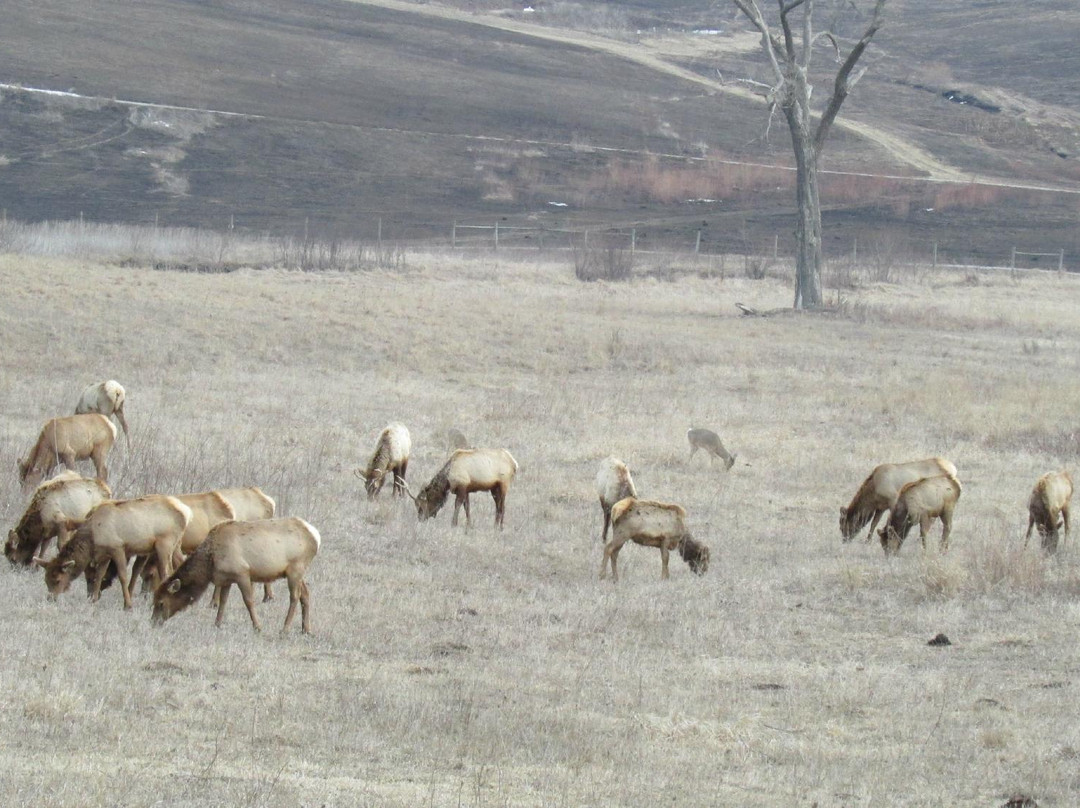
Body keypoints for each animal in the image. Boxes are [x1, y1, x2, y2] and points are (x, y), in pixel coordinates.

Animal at [38, 494, 192, 609]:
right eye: (45, 579)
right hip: (176, 545)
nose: (50, 598)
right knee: (180, 563)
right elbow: (99, 575)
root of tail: (187, 513)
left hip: (164, 544)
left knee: (167, 573)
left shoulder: (117, 548)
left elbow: (122, 576)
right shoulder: (105, 554)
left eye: (57, 580)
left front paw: (128, 605)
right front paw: (93, 600)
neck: (93, 538)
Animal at [152, 518, 319, 639]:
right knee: (305, 594)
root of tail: (316, 536)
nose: (153, 622)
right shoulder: (226, 578)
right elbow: (223, 602)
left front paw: (258, 627)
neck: (210, 562)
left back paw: (285, 629)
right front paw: (217, 624)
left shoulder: (242, 572)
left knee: (295, 597)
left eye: (161, 603)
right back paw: (306, 629)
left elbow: (249, 601)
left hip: (295, 568)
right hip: (297, 572)